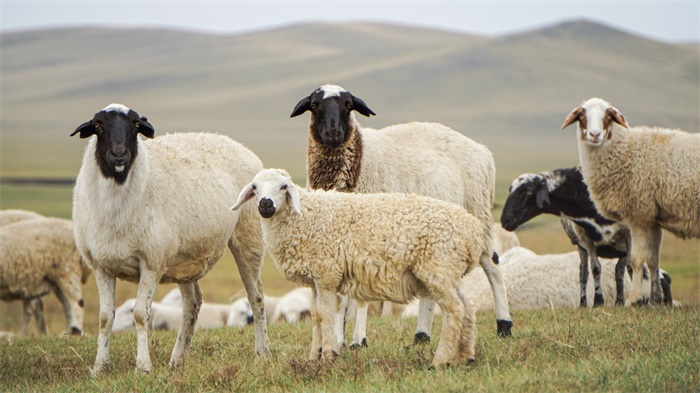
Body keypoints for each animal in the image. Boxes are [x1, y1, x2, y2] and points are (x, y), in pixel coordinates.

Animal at [70, 104, 268, 374]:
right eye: (98, 125)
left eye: (136, 125)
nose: (119, 154)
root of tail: (240, 146)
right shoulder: (101, 266)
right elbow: (104, 318)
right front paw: (99, 366)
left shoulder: (151, 263)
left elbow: (140, 315)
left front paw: (143, 366)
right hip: (185, 258)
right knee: (193, 303)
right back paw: (177, 360)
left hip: (248, 235)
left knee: (256, 297)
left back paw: (262, 354)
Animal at [231, 168, 486, 368]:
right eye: (254, 187)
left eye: (284, 186)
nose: (265, 204)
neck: (304, 217)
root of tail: (472, 231)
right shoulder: (315, 279)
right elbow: (315, 316)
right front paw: (314, 357)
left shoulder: (326, 274)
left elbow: (325, 315)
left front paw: (328, 356)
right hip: (451, 272)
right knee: (468, 307)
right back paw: (465, 356)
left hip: (438, 269)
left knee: (454, 310)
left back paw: (440, 361)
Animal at [290, 83, 516, 346]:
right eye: (315, 105)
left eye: (348, 105)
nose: (333, 132)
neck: (359, 160)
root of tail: (483, 151)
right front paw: (337, 338)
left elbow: (359, 296)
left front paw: (357, 340)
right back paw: (422, 335)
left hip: (478, 213)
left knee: (492, 264)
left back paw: (504, 325)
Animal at [564, 96, 700, 304]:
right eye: (581, 114)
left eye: (608, 115)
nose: (595, 135)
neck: (624, 150)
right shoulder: (652, 218)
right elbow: (653, 261)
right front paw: (655, 300)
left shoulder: (638, 215)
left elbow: (636, 260)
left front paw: (634, 299)